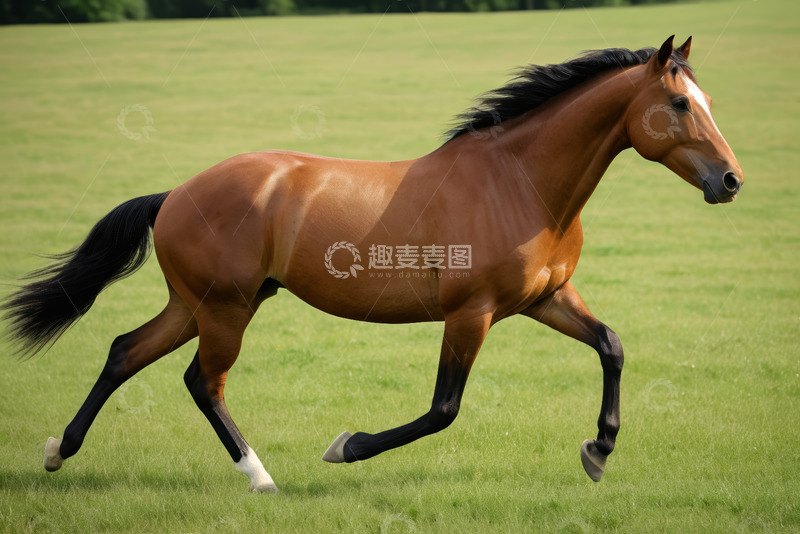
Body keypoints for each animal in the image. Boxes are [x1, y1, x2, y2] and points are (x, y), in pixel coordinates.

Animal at [2, 36, 742, 492]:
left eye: (707, 101)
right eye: (680, 104)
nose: (731, 181)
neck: (520, 183)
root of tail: (175, 194)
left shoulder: (545, 299)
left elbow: (611, 346)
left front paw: (598, 451)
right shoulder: (470, 314)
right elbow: (443, 408)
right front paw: (346, 446)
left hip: (200, 303)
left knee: (126, 352)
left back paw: (58, 451)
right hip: (225, 310)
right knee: (201, 381)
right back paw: (261, 478)